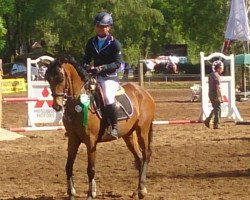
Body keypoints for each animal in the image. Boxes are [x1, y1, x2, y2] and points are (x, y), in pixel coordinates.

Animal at [44, 57, 155, 199]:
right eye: (48, 78)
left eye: (60, 78)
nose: (56, 106)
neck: (77, 104)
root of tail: (143, 92)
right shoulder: (73, 139)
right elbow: (68, 166)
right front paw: (71, 193)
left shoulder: (91, 141)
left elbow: (90, 169)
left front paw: (90, 194)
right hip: (128, 135)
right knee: (139, 158)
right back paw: (137, 190)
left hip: (142, 130)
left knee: (146, 155)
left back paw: (142, 190)